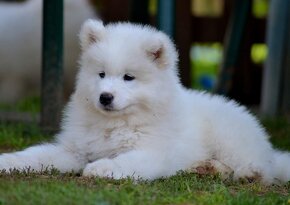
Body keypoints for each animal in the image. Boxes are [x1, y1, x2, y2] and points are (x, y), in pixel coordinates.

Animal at [0, 19, 290, 184]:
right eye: (101, 74)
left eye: (129, 77)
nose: (105, 96)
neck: (115, 124)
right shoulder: (74, 151)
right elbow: (36, 154)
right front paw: (8, 161)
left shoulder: (154, 152)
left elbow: (126, 161)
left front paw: (101, 168)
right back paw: (204, 168)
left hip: (229, 138)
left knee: (261, 167)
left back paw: (247, 173)